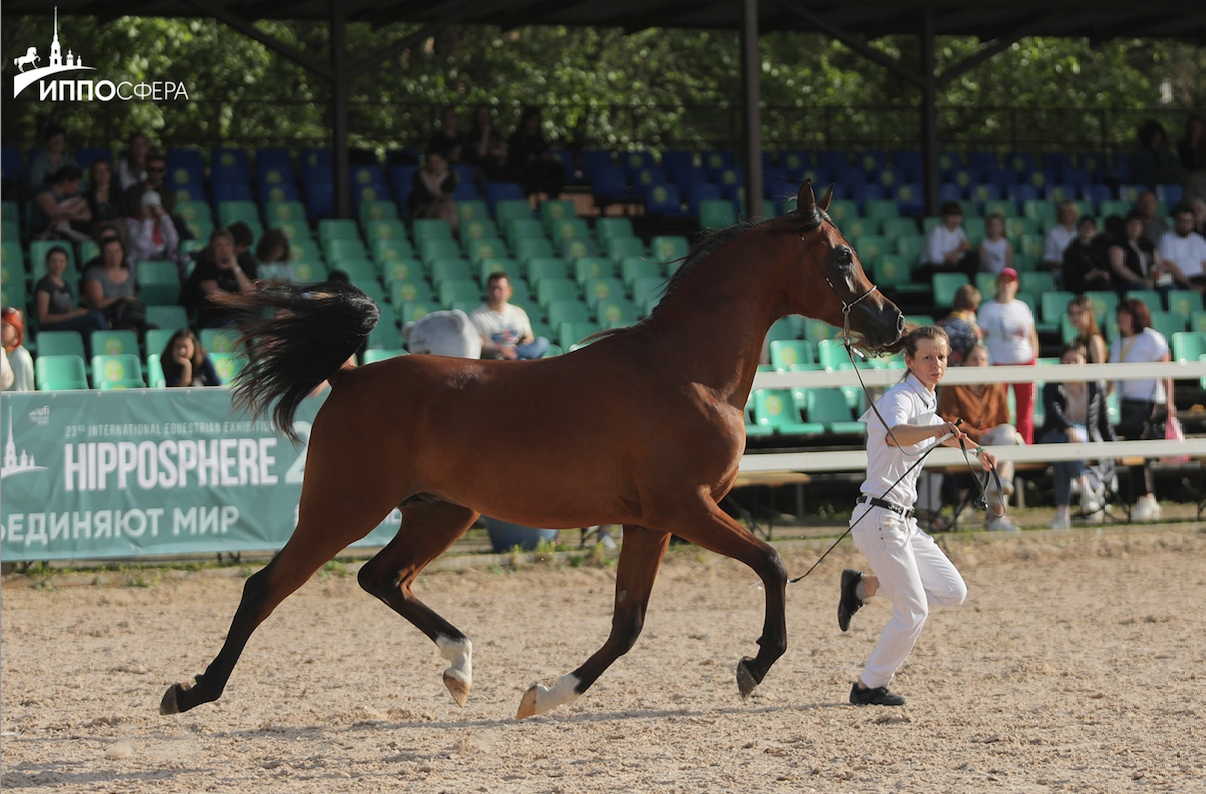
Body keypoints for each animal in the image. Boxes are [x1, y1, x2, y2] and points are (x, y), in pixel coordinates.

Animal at [165, 179, 906, 719]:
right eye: (842, 255)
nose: (893, 322)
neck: (685, 370)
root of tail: (349, 376)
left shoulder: (649, 524)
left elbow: (628, 624)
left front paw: (544, 696)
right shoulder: (687, 510)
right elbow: (773, 564)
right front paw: (753, 667)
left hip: (440, 511)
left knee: (383, 578)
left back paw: (460, 668)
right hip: (341, 509)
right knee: (266, 587)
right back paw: (193, 692)